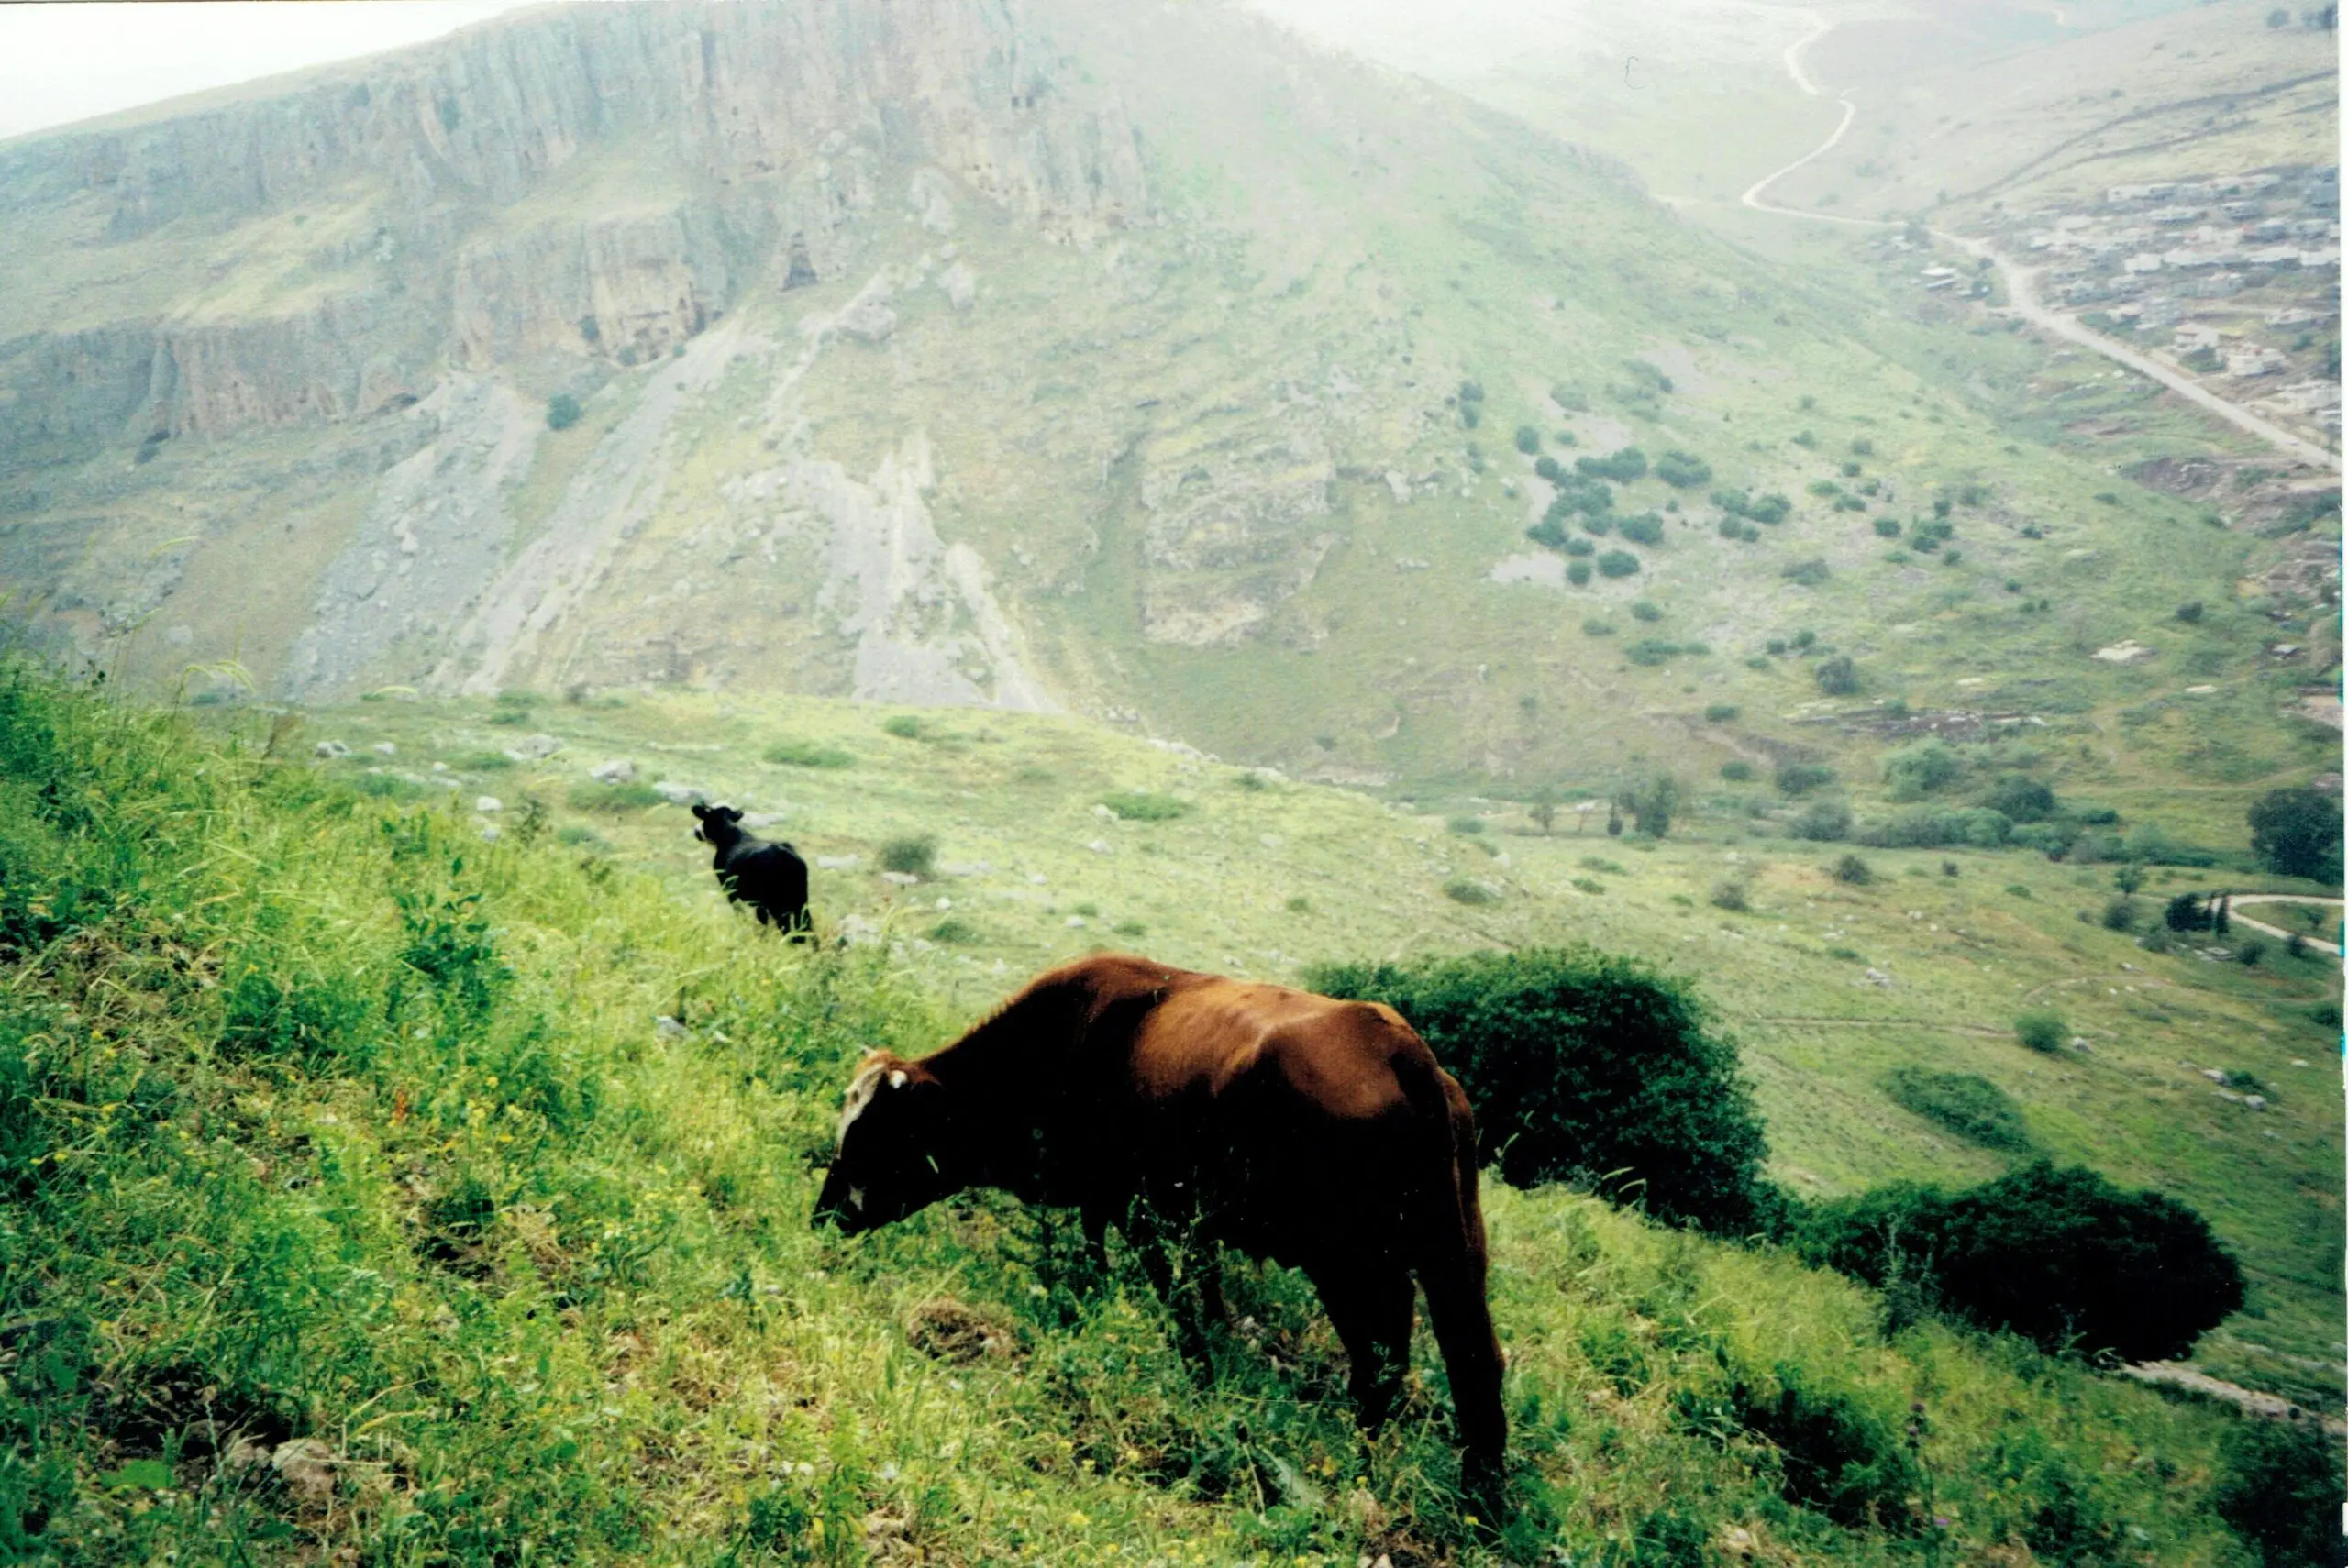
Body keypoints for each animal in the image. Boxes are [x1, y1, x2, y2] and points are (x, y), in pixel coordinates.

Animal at [690, 802, 811, 937]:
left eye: (706, 818)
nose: (696, 831)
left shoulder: (729, 889)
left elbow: (740, 914)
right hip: (800, 902)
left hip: (776, 904)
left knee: (787, 929)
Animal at [812, 954, 1506, 1483]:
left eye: (875, 1136)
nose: (822, 1216)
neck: (1067, 1041)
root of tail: (1399, 1047)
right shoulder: (1155, 1214)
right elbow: (1182, 1279)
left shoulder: (1136, 1204)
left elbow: (1170, 1294)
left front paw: (1196, 1366)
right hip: (1454, 1255)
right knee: (1472, 1358)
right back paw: (1484, 1497)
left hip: (1348, 1263)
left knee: (1379, 1364)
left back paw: (1367, 1464)